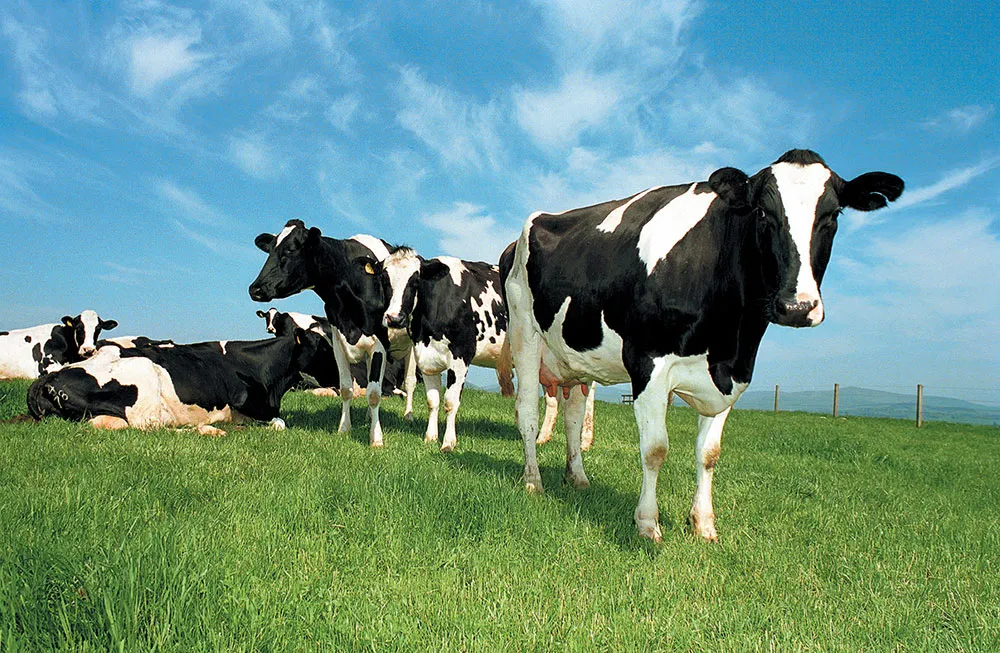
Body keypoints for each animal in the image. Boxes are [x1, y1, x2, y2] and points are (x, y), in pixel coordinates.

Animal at [27, 330, 325, 435]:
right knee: (151, 428)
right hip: (144, 378)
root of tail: (49, 378)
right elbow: (280, 423)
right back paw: (208, 429)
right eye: (322, 344)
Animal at [248, 220, 417, 447]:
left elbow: (374, 393)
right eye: (270, 250)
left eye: (290, 250)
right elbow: (346, 388)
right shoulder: (338, 342)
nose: (255, 289)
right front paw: (344, 429)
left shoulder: (379, 345)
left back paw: (408, 415)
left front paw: (376, 438)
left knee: (410, 382)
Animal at [501, 149, 903, 542]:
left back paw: (578, 477)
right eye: (763, 212)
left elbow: (709, 453)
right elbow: (655, 449)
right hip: (525, 335)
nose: (797, 307)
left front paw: (704, 524)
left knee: (573, 415)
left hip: (577, 359)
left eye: (833, 215)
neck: (730, 339)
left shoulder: (729, 375)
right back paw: (533, 480)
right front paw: (648, 524)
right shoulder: (648, 362)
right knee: (527, 412)